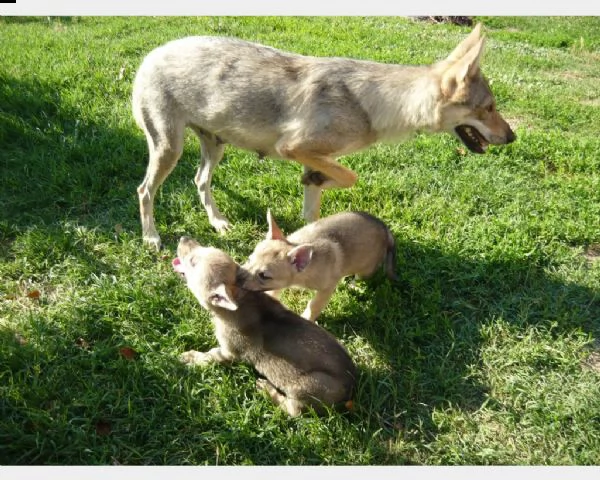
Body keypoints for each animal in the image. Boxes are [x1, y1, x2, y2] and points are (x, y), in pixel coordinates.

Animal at [132, 23, 516, 249]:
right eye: (489, 108)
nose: (512, 137)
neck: (375, 105)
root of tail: (151, 54)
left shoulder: (316, 159)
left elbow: (315, 208)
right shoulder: (294, 148)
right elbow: (350, 176)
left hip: (214, 148)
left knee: (200, 181)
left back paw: (218, 222)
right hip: (170, 150)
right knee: (144, 190)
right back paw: (151, 237)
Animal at [171, 236, 356, 416]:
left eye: (193, 262)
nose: (183, 237)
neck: (242, 298)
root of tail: (352, 386)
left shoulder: (228, 352)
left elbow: (209, 355)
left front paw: (189, 357)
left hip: (306, 388)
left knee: (292, 411)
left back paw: (267, 389)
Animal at [239, 209, 398, 318]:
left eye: (264, 276)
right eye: (249, 259)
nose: (237, 277)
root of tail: (386, 231)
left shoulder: (327, 289)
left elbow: (314, 306)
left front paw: (306, 318)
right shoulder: (279, 285)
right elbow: (274, 292)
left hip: (365, 270)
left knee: (360, 277)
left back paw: (353, 285)